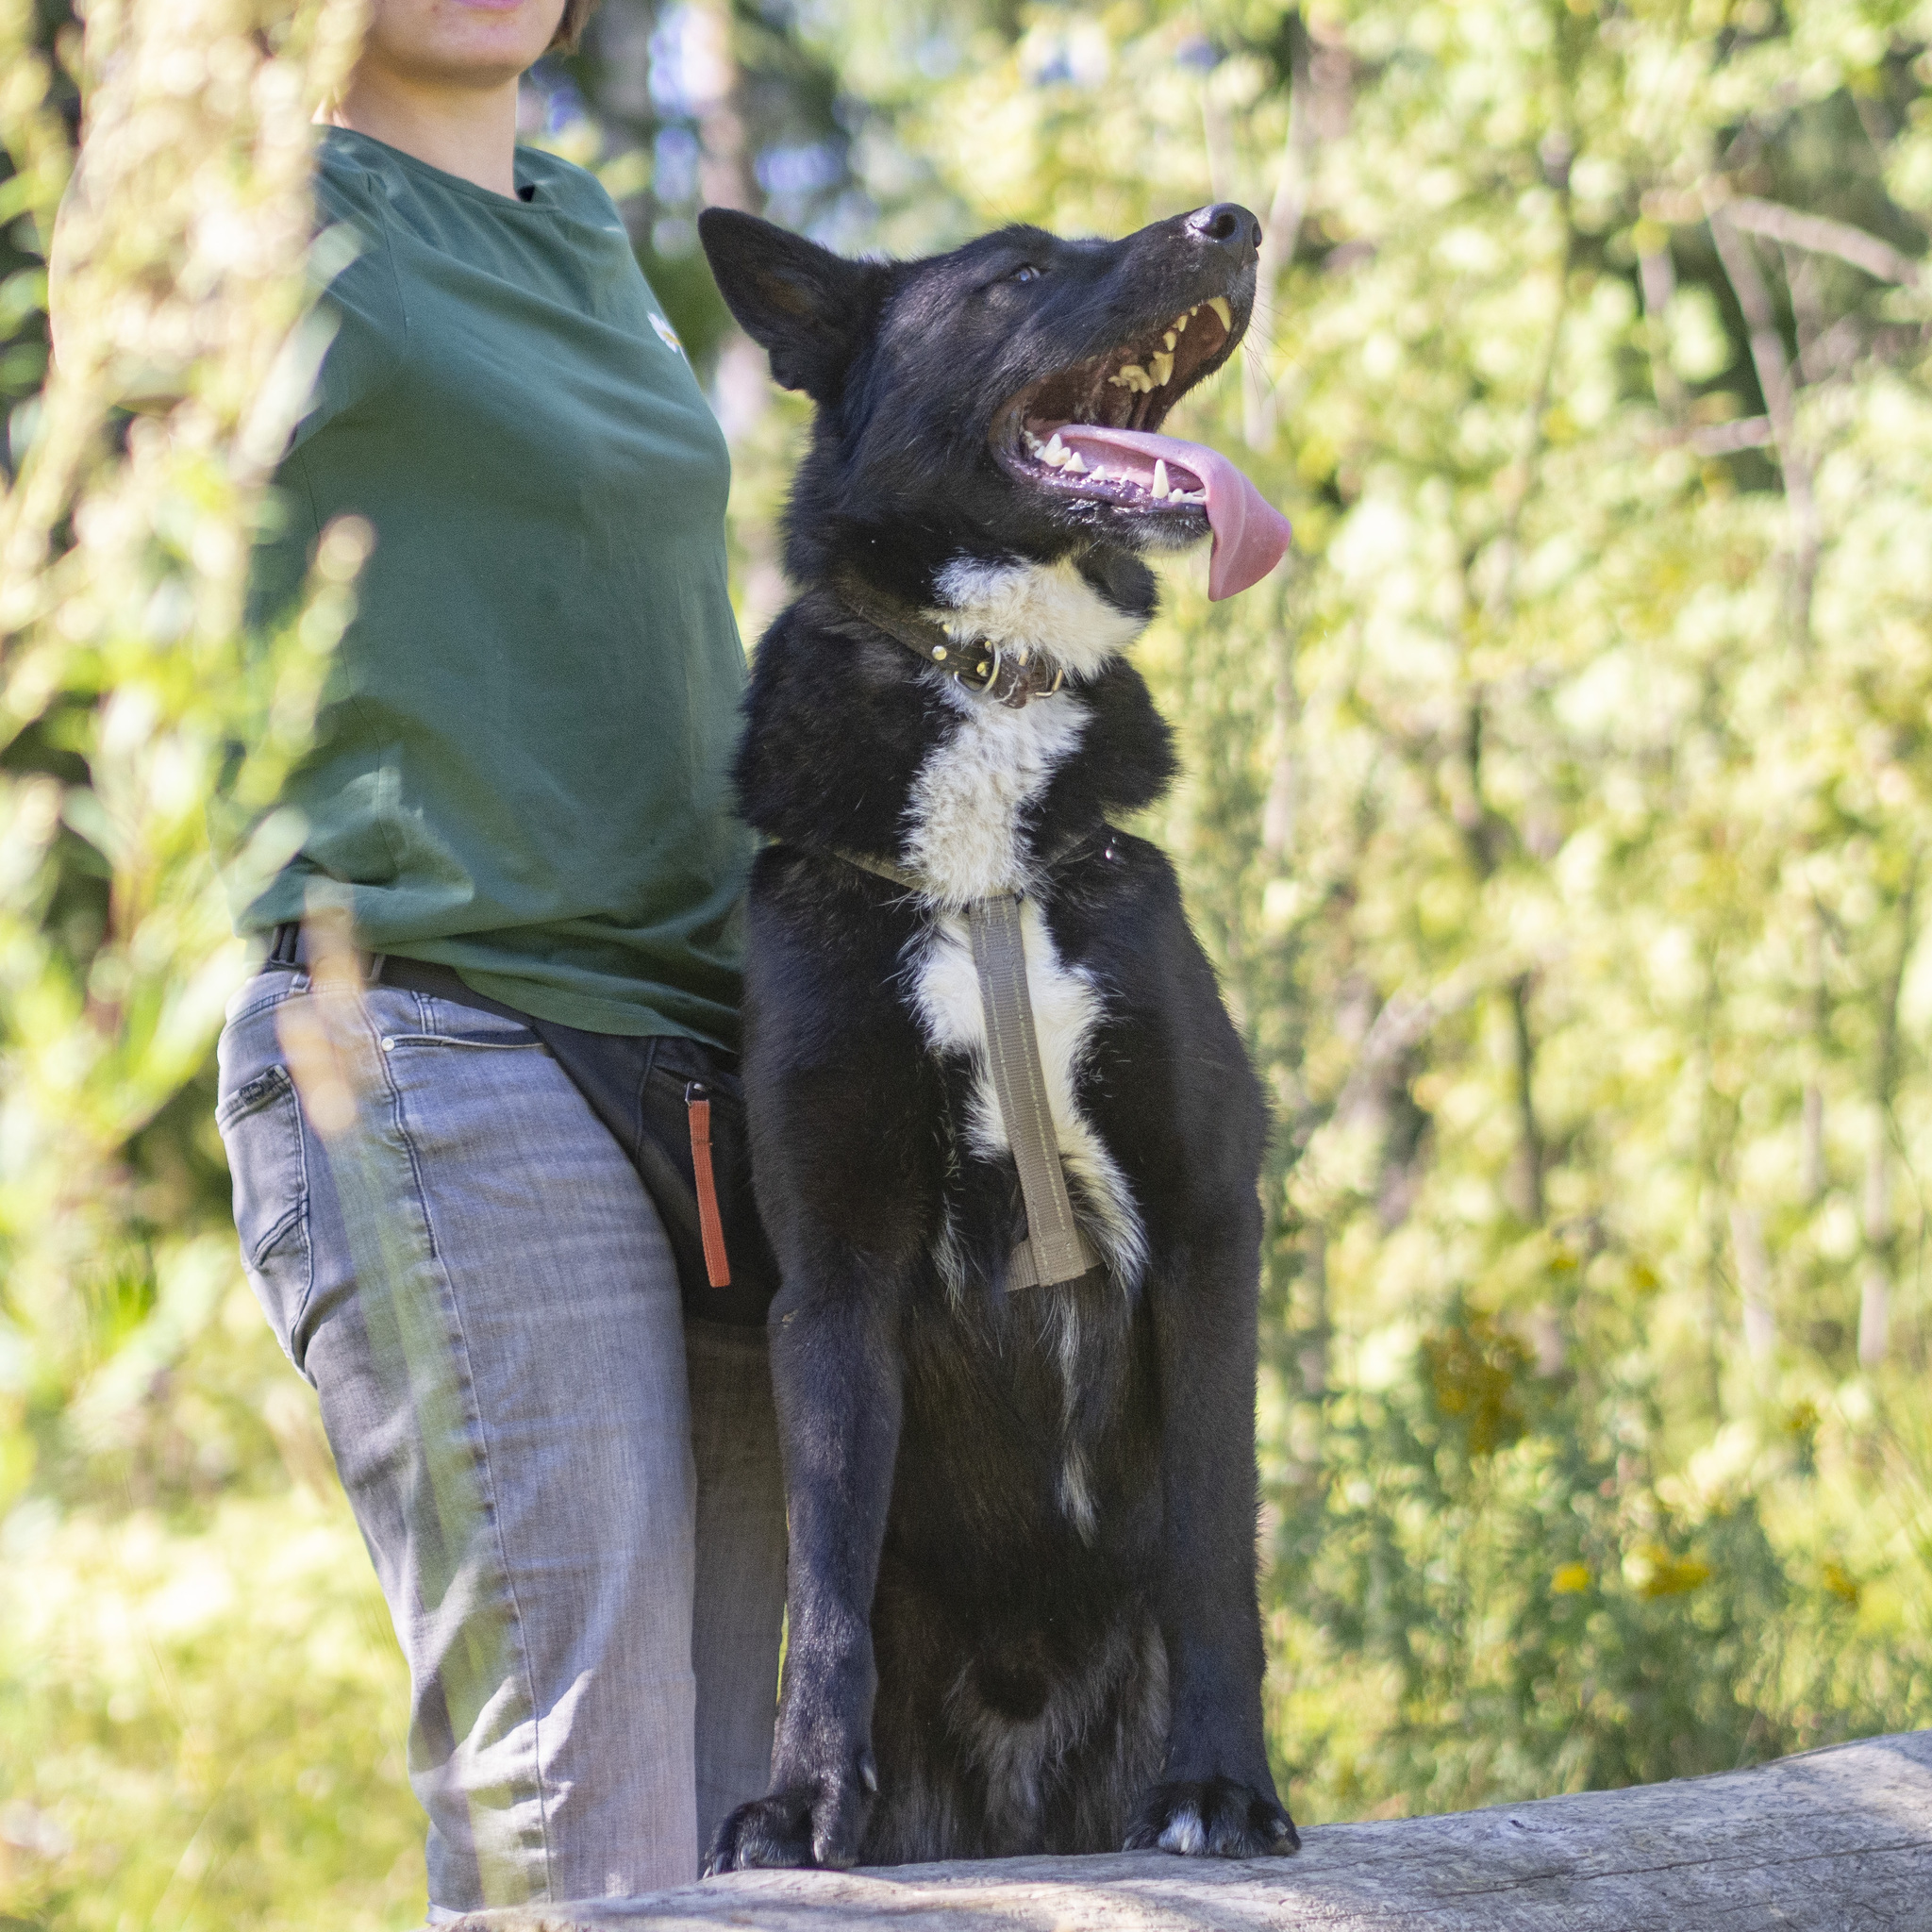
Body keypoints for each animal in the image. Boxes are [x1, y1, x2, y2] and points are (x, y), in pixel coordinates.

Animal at [699, 199, 1298, 1870]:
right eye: (1021, 270)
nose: (1234, 220)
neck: (995, 689)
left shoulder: (1209, 1215)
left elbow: (1213, 1551)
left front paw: (1222, 1789)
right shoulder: (835, 1274)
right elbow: (826, 1590)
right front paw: (802, 1801)